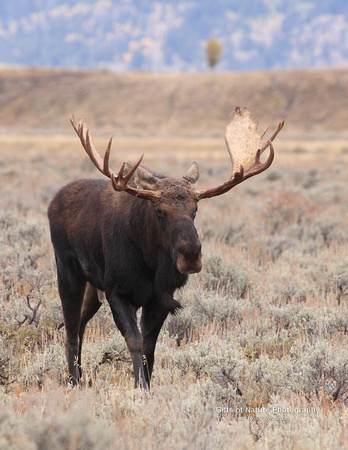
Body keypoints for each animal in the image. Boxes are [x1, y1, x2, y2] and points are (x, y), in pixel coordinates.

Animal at [48, 107, 282, 388]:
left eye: (195, 209)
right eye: (159, 211)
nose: (190, 254)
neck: (149, 262)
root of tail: (53, 201)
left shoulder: (160, 298)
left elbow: (150, 348)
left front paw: (147, 387)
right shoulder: (118, 291)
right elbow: (135, 342)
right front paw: (139, 387)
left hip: (94, 289)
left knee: (78, 324)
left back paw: (80, 376)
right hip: (68, 271)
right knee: (71, 328)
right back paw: (73, 381)